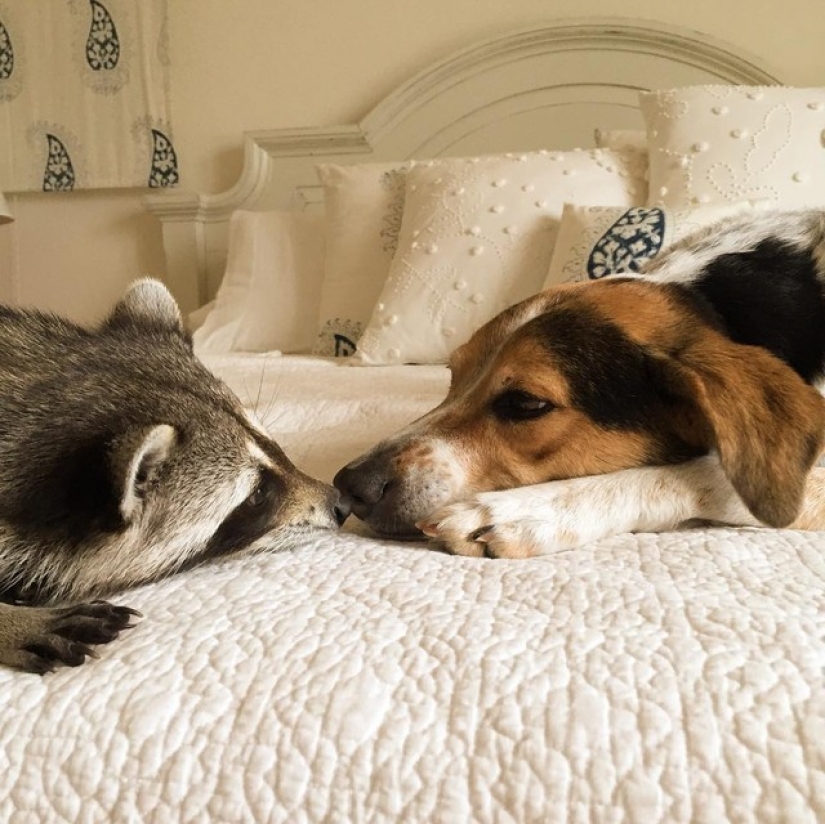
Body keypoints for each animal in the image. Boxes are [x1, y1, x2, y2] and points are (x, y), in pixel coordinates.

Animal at [334, 209, 824, 560]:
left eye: (526, 404)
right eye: (453, 375)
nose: (349, 484)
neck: (718, 306)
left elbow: (703, 474)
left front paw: (530, 508)